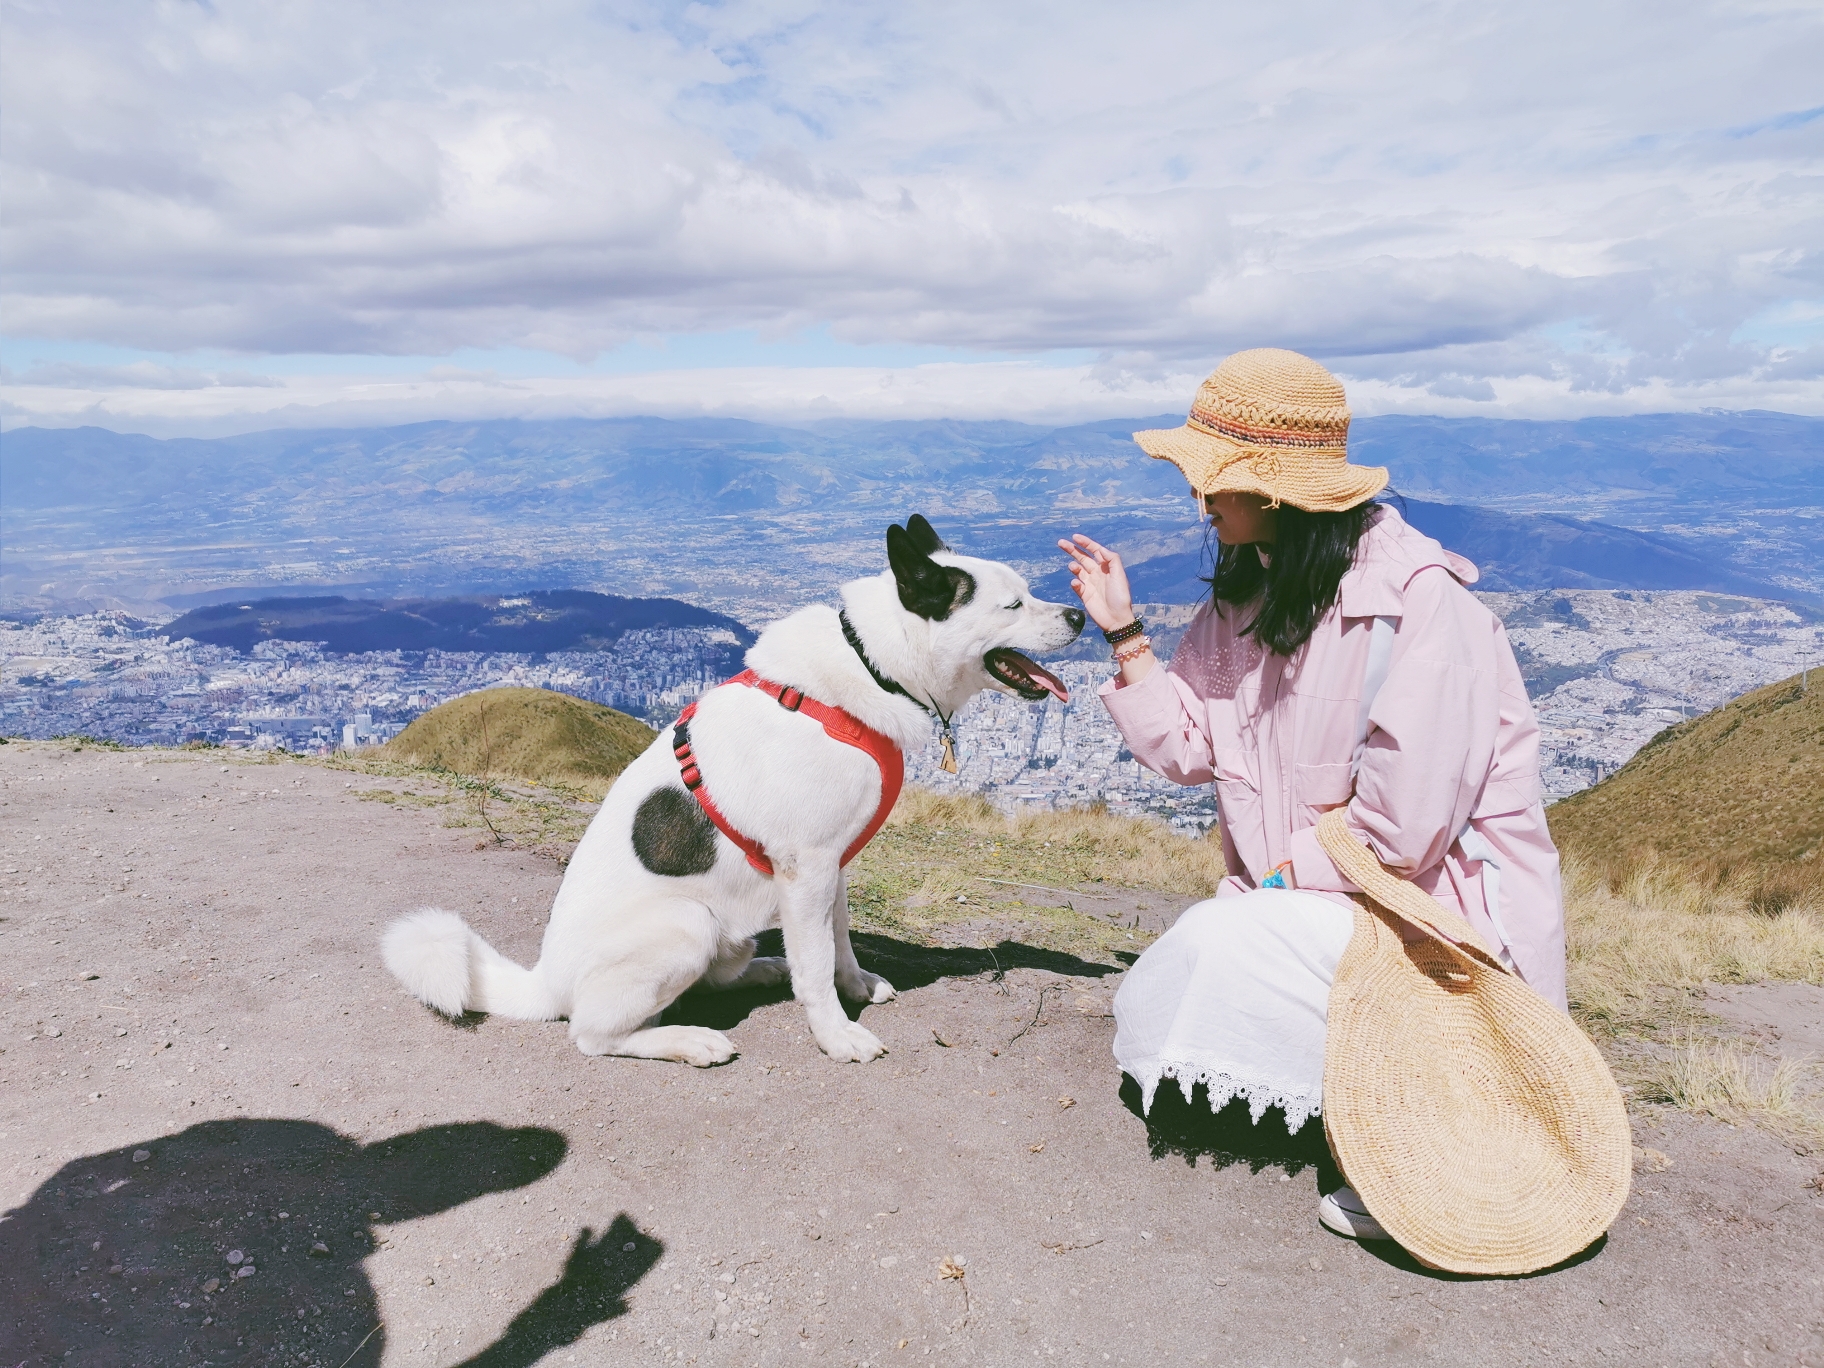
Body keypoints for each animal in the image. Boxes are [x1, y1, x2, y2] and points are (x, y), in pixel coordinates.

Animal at [375, 518, 1072, 1065]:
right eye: (1012, 605)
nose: (1077, 614)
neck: (871, 662)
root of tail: (545, 982)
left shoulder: (834, 864)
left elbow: (837, 942)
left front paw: (851, 986)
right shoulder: (806, 867)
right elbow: (815, 966)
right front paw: (836, 1034)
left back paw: (762, 970)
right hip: (686, 924)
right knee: (593, 1034)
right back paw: (688, 1040)